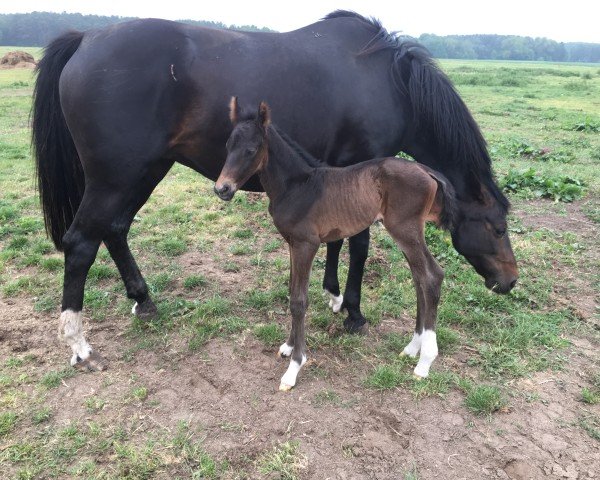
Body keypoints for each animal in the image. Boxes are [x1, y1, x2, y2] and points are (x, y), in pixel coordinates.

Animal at [216, 97, 454, 390]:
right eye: (228, 146)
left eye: (251, 150)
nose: (222, 189)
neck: (297, 186)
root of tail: (426, 170)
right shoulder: (292, 244)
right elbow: (292, 292)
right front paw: (288, 346)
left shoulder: (306, 244)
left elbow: (299, 301)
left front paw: (294, 367)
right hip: (407, 233)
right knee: (420, 277)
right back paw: (412, 348)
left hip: (406, 229)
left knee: (432, 276)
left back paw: (425, 361)